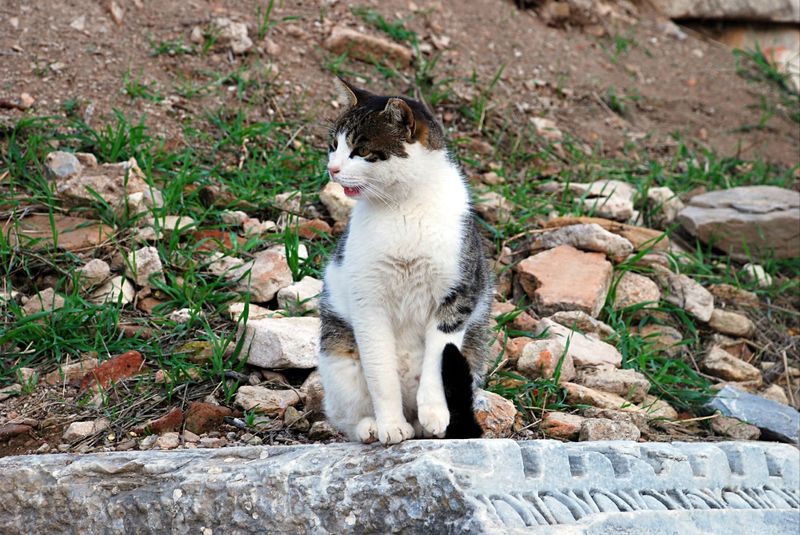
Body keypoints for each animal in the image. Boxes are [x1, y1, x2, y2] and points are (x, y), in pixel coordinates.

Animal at [314, 79, 490, 446]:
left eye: (360, 150)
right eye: (333, 146)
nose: (332, 170)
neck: (402, 208)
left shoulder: (457, 296)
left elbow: (438, 361)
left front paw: (435, 414)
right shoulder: (368, 302)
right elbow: (381, 377)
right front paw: (390, 425)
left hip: (474, 352)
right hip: (338, 357)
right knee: (344, 415)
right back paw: (371, 427)